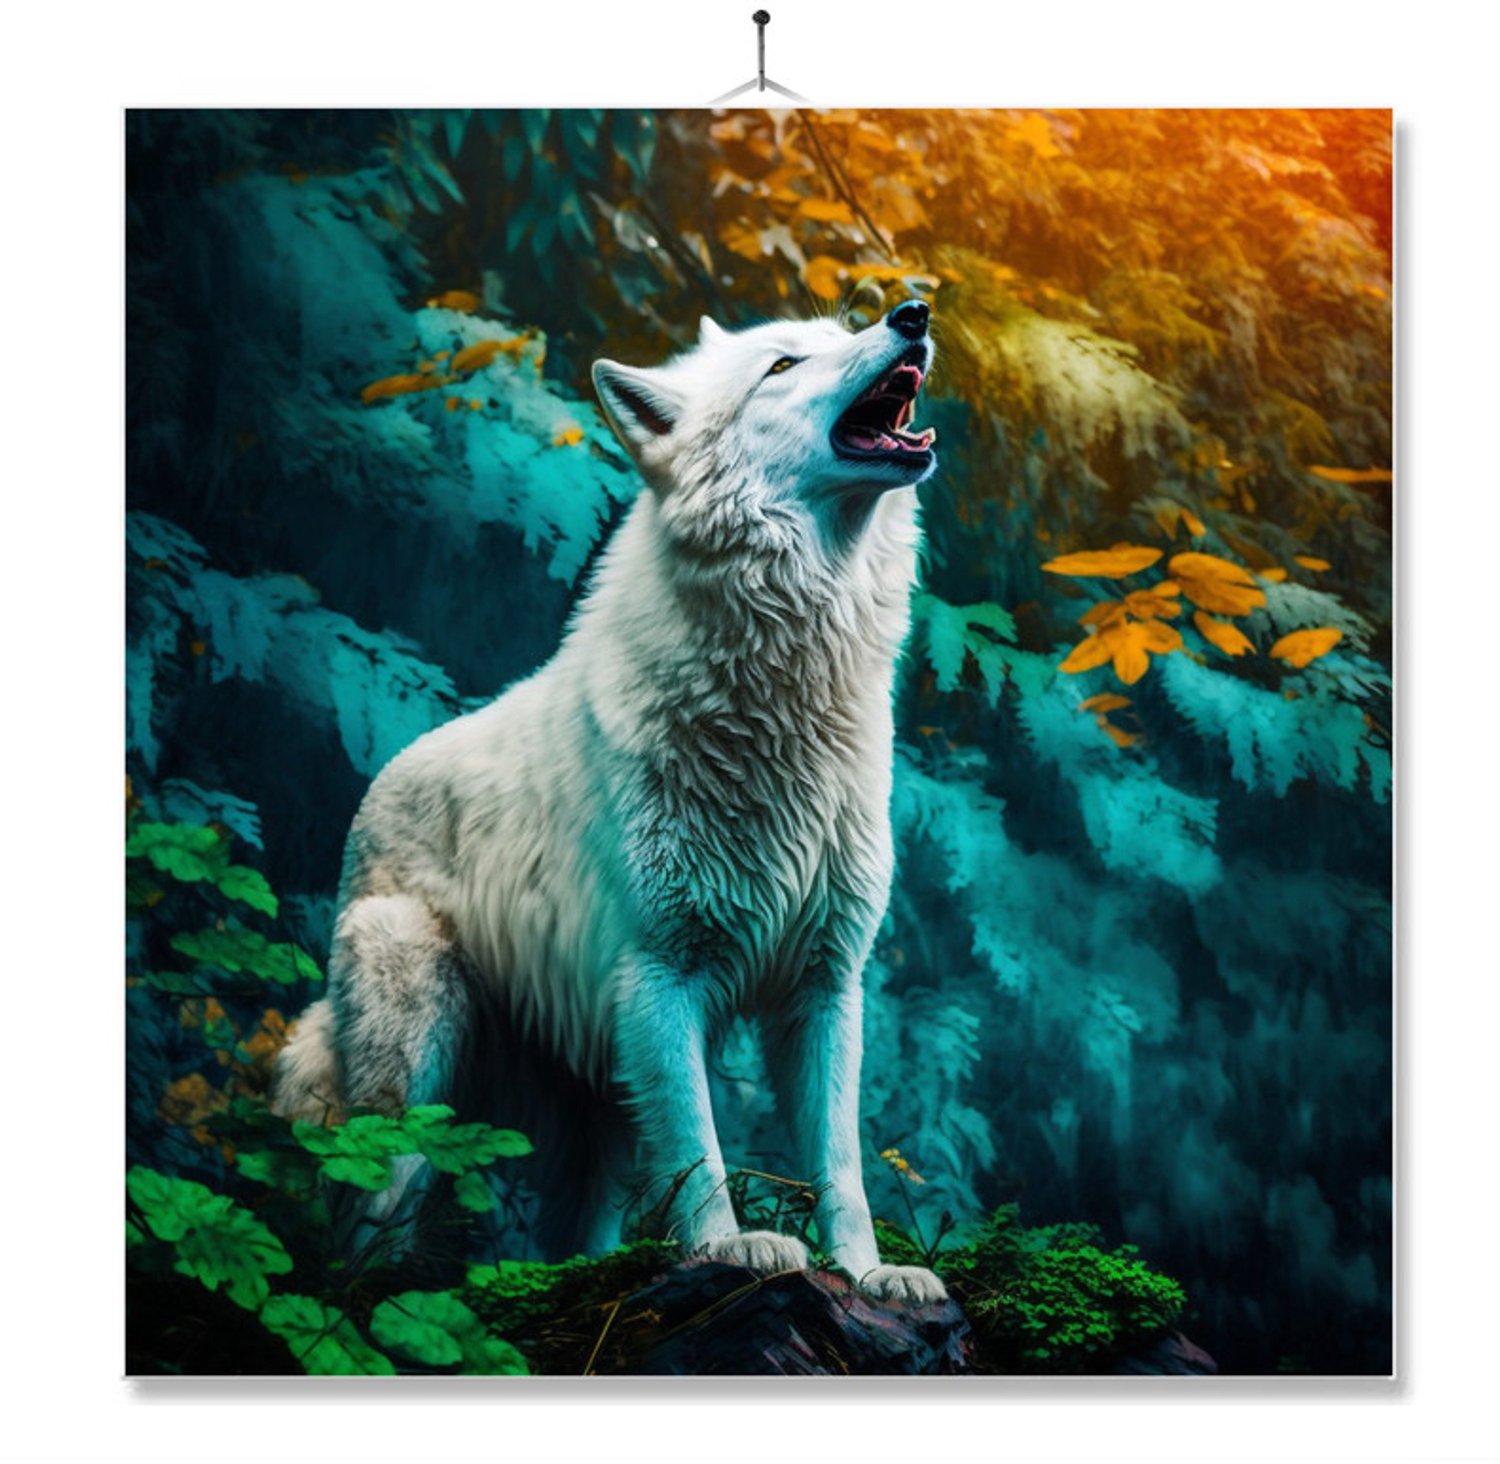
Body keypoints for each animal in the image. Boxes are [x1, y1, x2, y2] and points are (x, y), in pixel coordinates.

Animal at [271, 300, 946, 1304]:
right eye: (784, 364)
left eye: (843, 329)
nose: (914, 312)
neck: (784, 701)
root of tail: (377, 790)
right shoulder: (660, 977)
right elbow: (703, 1152)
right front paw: (733, 1250)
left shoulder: (827, 983)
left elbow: (841, 1160)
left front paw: (868, 1274)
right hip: (419, 1071)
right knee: (367, 1226)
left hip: (600, 1104)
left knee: (574, 1235)